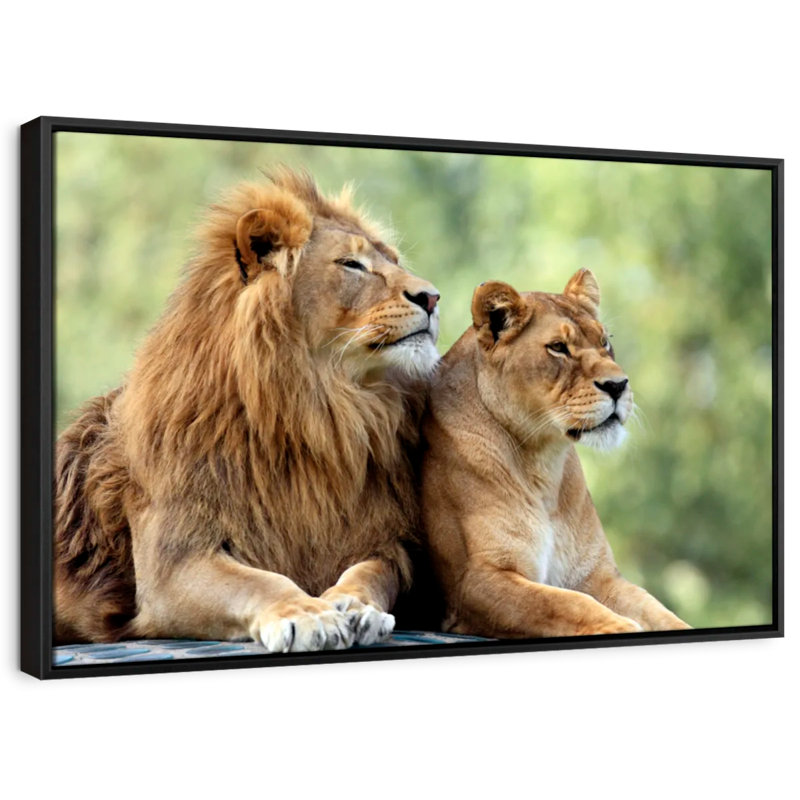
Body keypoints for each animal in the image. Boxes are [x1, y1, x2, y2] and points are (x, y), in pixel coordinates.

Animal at [54, 168, 441, 653]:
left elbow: (370, 573)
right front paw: (307, 614)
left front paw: (355, 606)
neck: (319, 412)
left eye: (393, 259)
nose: (433, 297)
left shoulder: (386, 542)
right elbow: (260, 581)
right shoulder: (172, 563)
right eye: (352, 265)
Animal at [421, 270, 689, 638]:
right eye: (558, 348)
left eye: (605, 342)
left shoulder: (596, 574)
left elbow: (657, 610)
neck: (543, 463)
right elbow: (563, 603)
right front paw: (620, 625)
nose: (618, 385)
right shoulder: (474, 582)